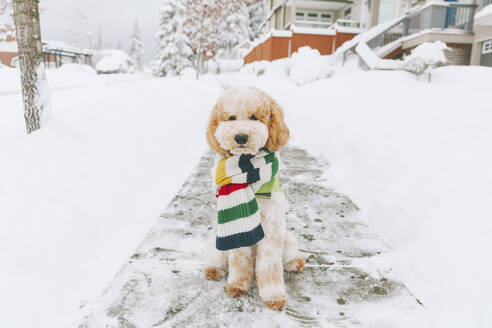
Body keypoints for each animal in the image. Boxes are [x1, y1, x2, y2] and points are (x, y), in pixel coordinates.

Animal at [203, 86, 304, 310]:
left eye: (254, 117)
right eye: (231, 117)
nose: (241, 137)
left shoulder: (271, 231)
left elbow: (270, 267)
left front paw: (274, 297)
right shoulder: (239, 230)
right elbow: (239, 262)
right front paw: (237, 286)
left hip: (287, 239)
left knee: (288, 257)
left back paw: (295, 263)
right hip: (217, 240)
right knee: (217, 258)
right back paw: (213, 269)